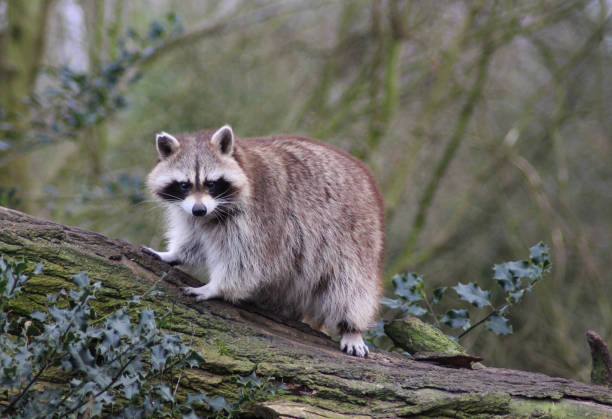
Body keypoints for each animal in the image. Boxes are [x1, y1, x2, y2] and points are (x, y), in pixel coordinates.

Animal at [143, 124, 382, 358]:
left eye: (211, 184)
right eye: (184, 185)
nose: (199, 209)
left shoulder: (262, 216)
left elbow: (246, 262)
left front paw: (216, 287)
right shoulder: (191, 216)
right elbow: (192, 241)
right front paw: (173, 254)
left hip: (355, 238)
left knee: (350, 286)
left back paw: (351, 328)